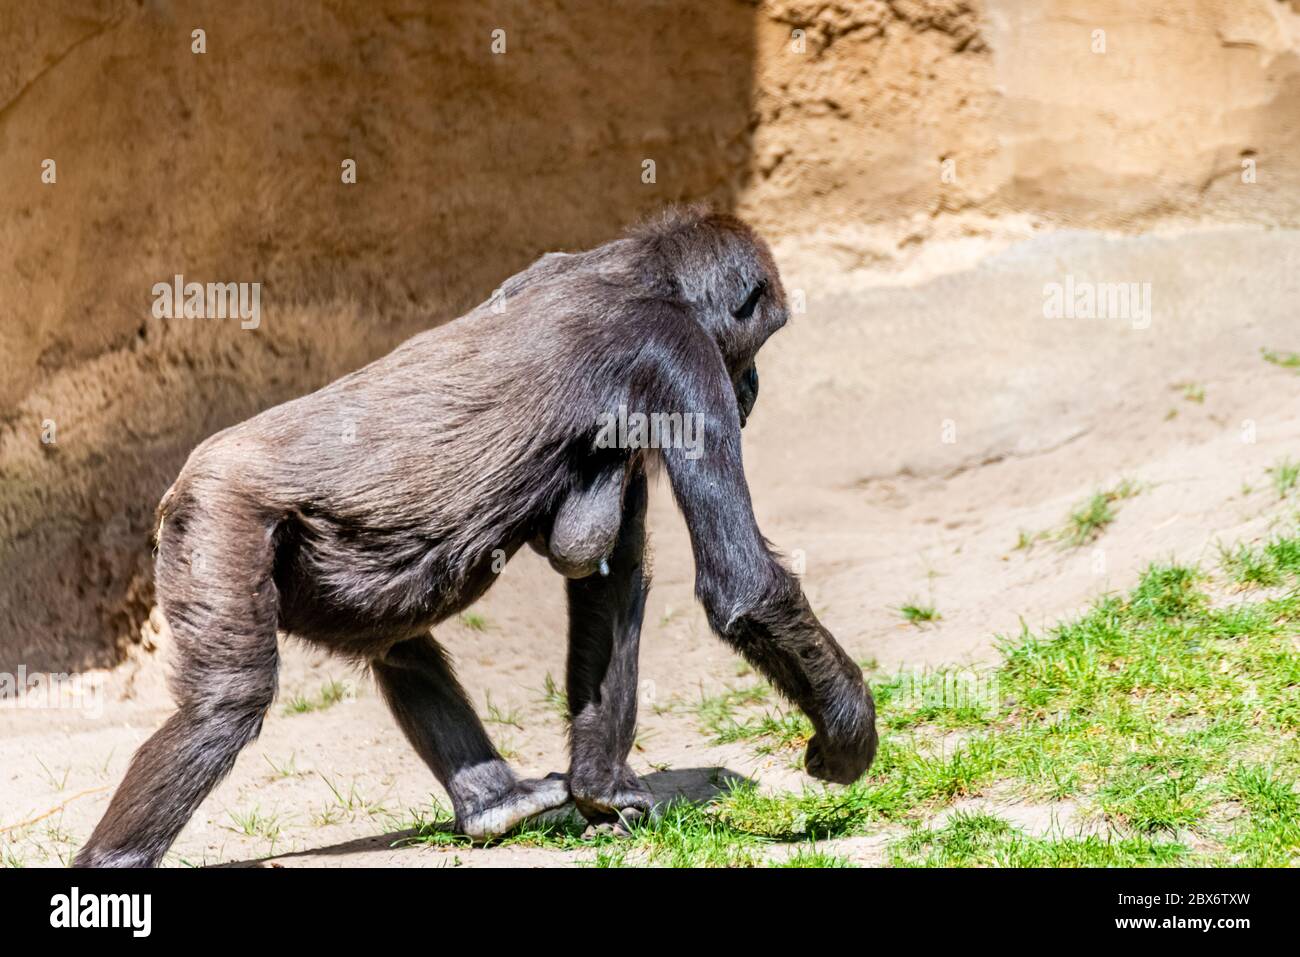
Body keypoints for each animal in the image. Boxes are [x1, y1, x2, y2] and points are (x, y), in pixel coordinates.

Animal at [76, 208, 878, 868]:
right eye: (756, 345)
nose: (754, 389)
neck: (637, 269)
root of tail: (180, 484)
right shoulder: (679, 356)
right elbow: (741, 584)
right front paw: (848, 732)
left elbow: (604, 572)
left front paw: (601, 784)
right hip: (218, 517)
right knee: (223, 707)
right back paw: (116, 860)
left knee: (396, 642)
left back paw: (494, 804)